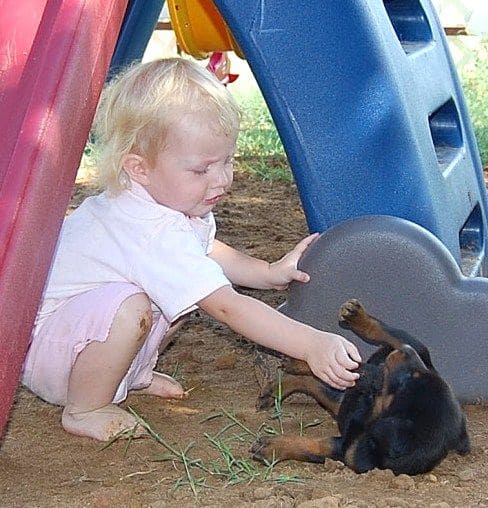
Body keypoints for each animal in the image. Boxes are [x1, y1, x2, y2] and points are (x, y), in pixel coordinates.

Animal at [252, 300, 468, 474]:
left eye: (410, 379)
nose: (406, 351)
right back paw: (356, 318)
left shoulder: (346, 449)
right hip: (414, 349)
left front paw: (273, 447)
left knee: (338, 377)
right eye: (417, 375)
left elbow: (317, 446)